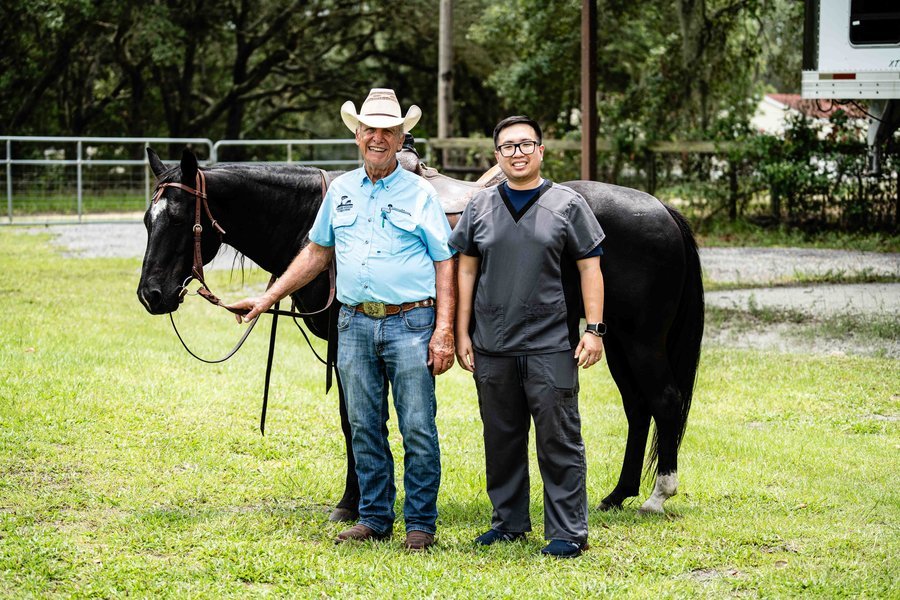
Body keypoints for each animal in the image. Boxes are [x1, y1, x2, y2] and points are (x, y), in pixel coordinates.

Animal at [139, 146, 704, 516]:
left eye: (180, 219)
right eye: (147, 220)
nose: (151, 295)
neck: (312, 219)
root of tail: (662, 208)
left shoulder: (350, 345)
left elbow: (355, 422)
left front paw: (352, 503)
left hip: (640, 342)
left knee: (664, 401)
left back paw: (657, 495)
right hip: (615, 340)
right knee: (639, 408)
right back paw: (618, 494)